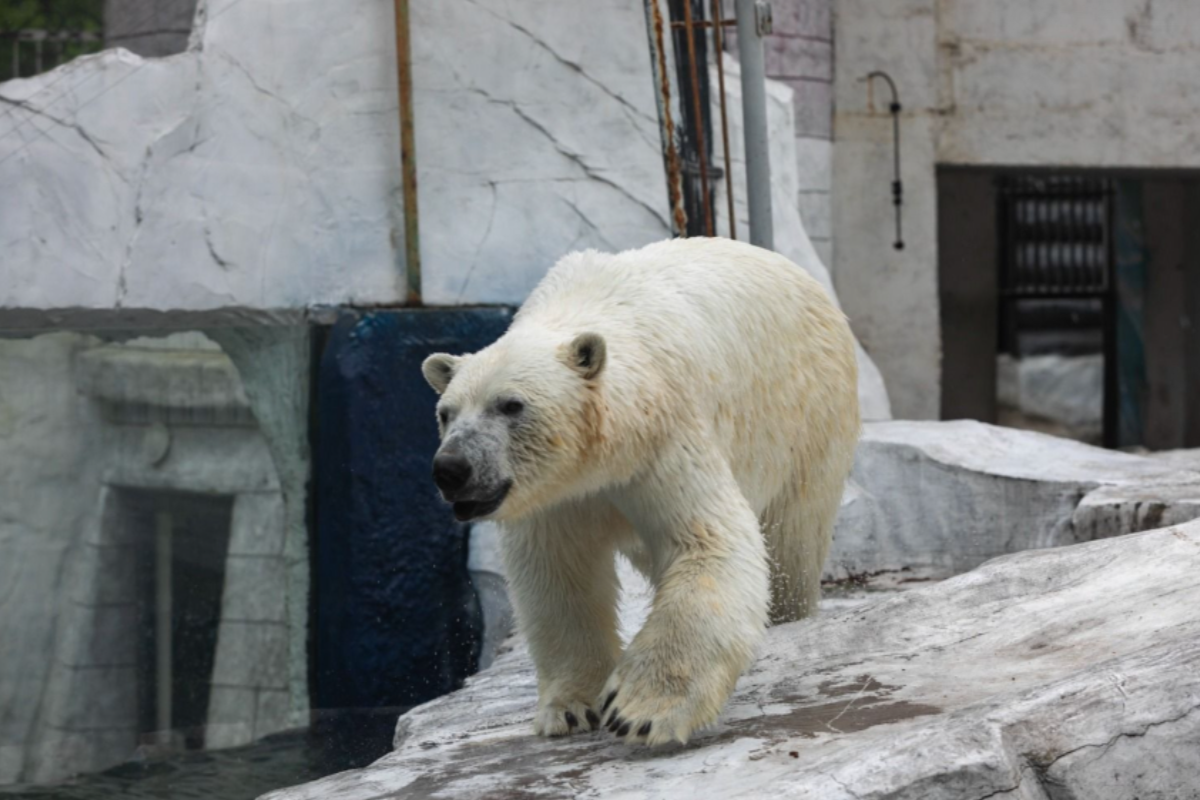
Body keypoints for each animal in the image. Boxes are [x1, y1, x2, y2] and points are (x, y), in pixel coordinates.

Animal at [422, 236, 854, 743]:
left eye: (511, 405)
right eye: (446, 413)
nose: (451, 468)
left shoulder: (664, 439)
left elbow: (706, 543)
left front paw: (642, 710)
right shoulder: (555, 496)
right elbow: (557, 574)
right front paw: (570, 708)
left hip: (808, 413)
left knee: (793, 536)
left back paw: (789, 611)